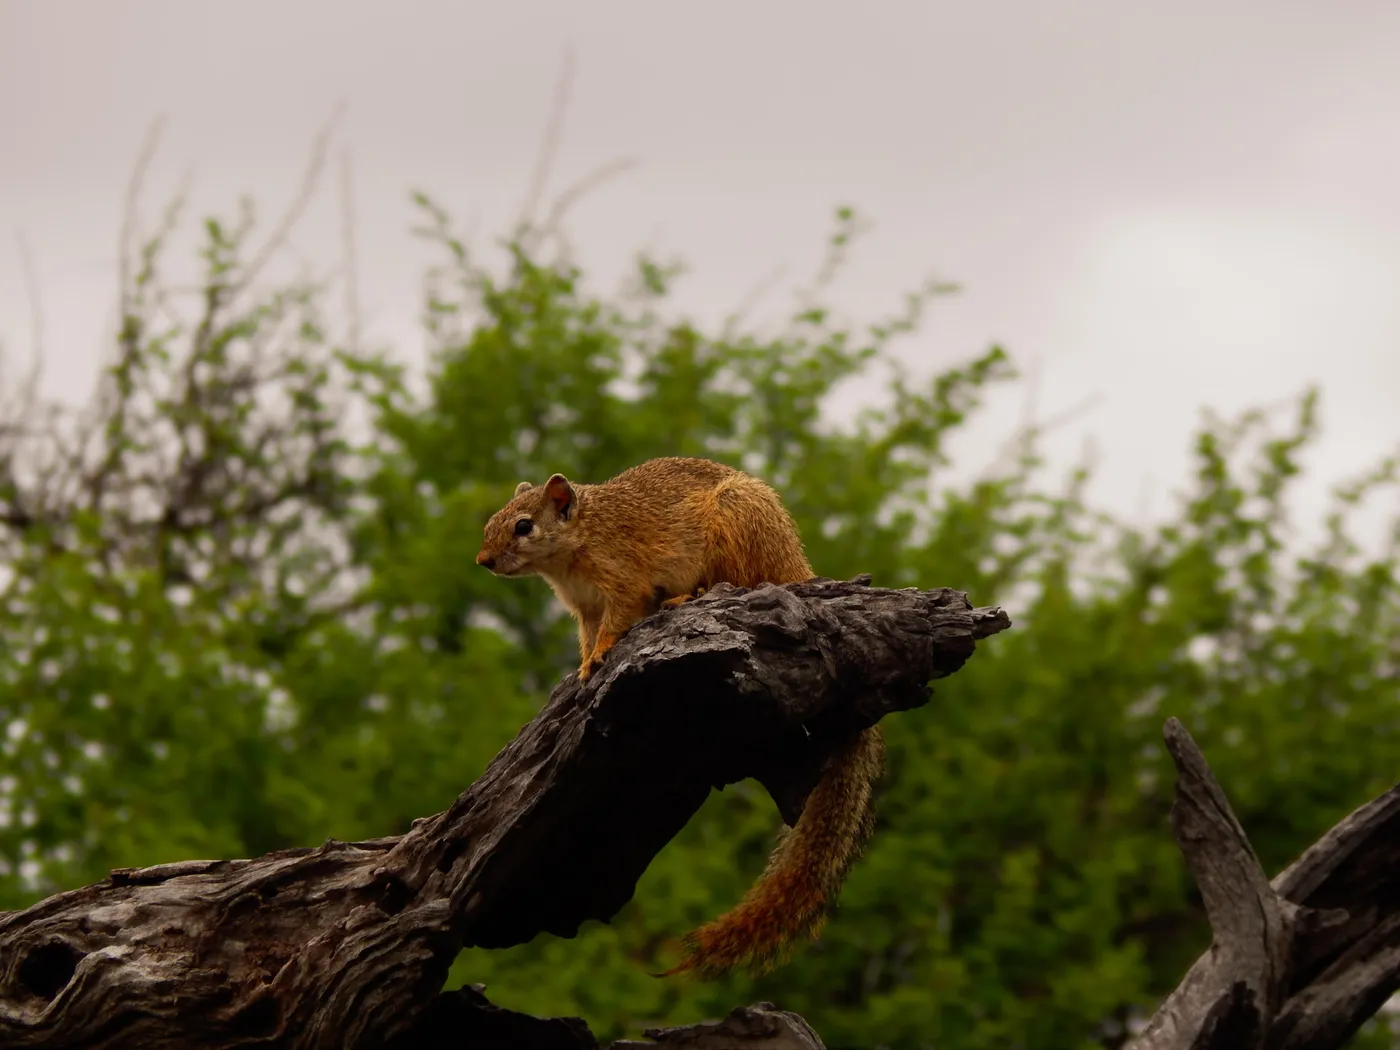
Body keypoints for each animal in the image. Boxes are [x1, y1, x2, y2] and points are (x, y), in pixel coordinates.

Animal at [475, 456, 885, 978]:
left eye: (524, 526)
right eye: (493, 520)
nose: (483, 560)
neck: (580, 541)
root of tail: (796, 562)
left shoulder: (624, 580)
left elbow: (616, 622)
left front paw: (600, 657)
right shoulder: (585, 607)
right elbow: (588, 636)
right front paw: (584, 666)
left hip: (735, 529)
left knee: (743, 579)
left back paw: (687, 596)